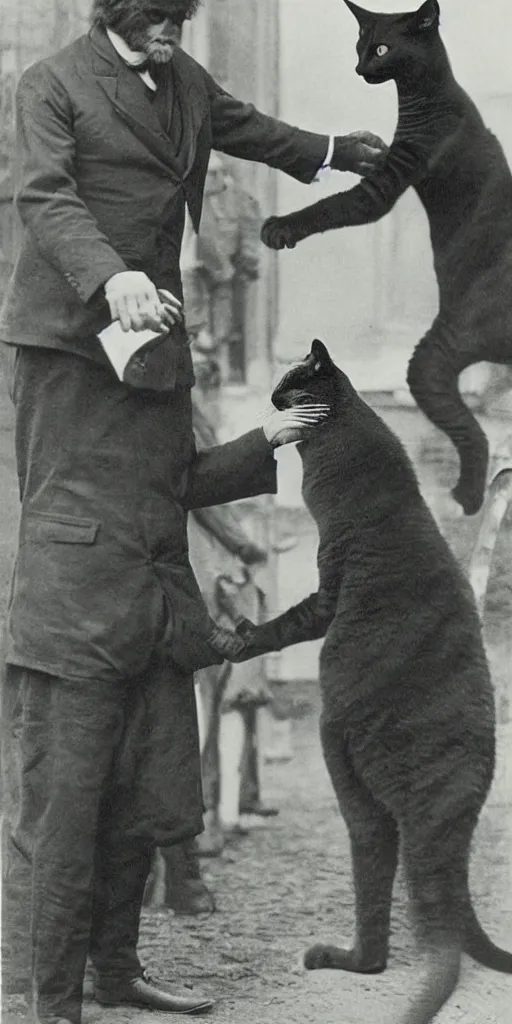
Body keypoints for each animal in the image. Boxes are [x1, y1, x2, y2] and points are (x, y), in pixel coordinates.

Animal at [232, 342, 512, 1024]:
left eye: (292, 381)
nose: (274, 398)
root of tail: (456, 806)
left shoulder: (328, 590)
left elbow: (287, 623)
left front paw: (243, 635)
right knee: (383, 936)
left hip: (354, 785)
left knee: (391, 931)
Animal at [262, 0, 512, 516]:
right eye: (360, 44)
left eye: (381, 49)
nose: (360, 68)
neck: (428, 95)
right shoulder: (388, 163)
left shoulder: (387, 182)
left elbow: (330, 206)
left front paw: (278, 228)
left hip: (432, 360)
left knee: (473, 434)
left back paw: (467, 499)